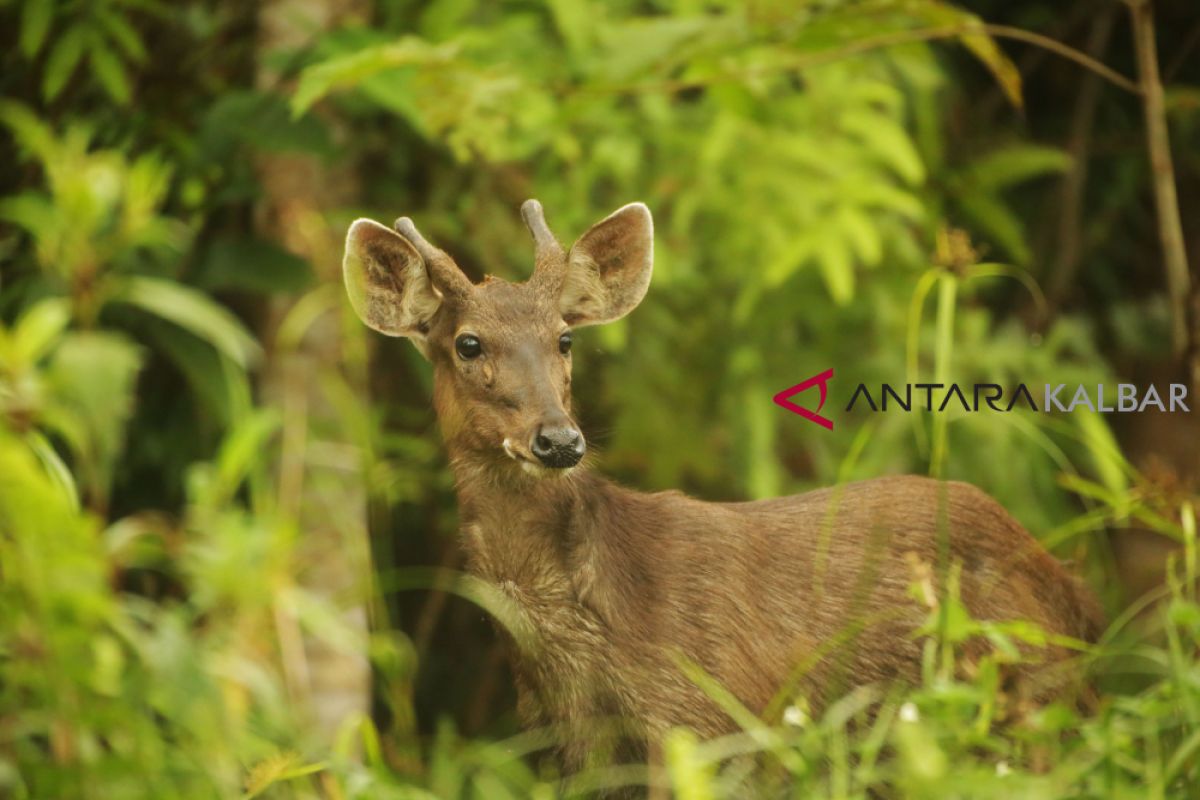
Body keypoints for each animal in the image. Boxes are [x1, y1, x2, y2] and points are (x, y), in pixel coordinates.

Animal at [340, 199, 1104, 777]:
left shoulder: (707, 721)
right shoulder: (576, 751)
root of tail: (1075, 591)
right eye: (467, 344)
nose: (558, 440)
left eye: (564, 339)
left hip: (1031, 699)